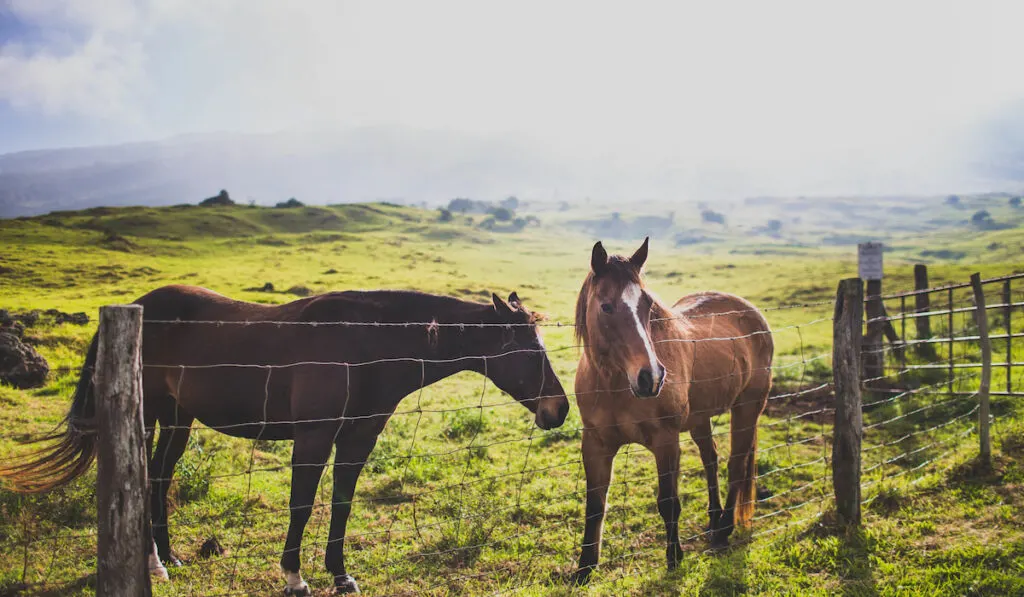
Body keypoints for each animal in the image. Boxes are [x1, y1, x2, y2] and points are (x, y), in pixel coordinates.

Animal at [573, 239, 770, 585]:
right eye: (606, 306)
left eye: (647, 304)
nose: (650, 377)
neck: (614, 386)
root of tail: (751, 312)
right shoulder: (595, 444)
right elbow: (595, 505)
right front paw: (585, 567)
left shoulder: (665, 441)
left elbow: (668, 502)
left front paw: (674, 557)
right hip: (701, 418)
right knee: (711, 458)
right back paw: (714, 519)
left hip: (747, 408)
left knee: (736, 464)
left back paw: (724, 530)